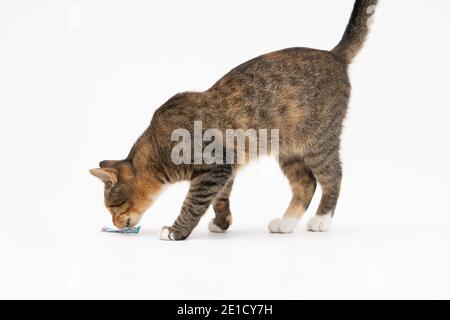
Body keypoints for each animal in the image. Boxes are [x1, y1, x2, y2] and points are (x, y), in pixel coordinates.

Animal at [90, 0, 376, 240]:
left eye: (111, 206)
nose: (114, 224)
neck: (158, 144)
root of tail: (333, 54)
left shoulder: (214, 164)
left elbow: (194, 201)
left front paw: (176, 230)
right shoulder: (226, 167)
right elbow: (220, 197)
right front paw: (222, 222)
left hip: (319, 141)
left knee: (333, 176)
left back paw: (322, 219)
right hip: (288, 150)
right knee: (306, 183)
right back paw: (286, 222)